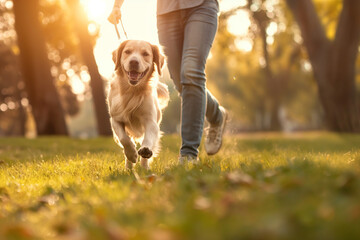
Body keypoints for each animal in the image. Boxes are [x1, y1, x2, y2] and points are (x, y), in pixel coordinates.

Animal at [107, 39, 169, 169]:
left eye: (145, 54)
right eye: (127, 52)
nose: (134, 62)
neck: (132, 92)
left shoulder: (151, 121)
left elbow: (148, 139)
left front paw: (145, 150)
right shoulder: (115, 119)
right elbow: (124, 139)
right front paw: (131, 154)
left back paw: (145, 168)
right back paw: (129, 168)